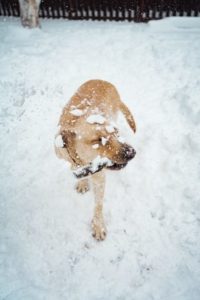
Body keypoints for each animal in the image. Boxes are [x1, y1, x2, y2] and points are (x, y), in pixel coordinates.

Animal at [54, 79, 136, 239]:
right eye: (98, 140)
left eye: (116, 132)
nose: (132, 152)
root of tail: (104, 81)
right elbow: (76, 168)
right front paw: (82, 181)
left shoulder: (99, 177)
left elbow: (98, 204)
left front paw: (98, 226)